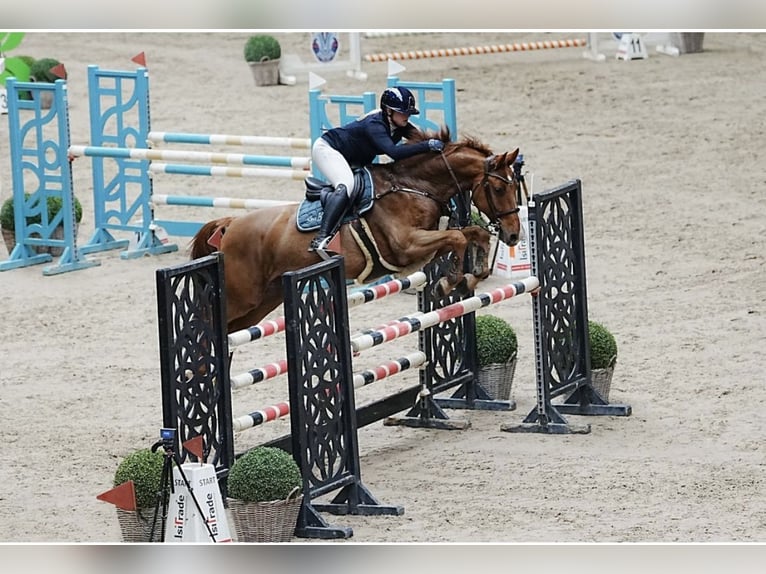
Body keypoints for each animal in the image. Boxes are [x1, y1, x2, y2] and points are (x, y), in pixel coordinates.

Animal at [190, 127, 522, 333]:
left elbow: (473, 234)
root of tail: (231, 224)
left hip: (264, 300)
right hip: (242, 295)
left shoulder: (424, 244)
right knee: (206, 323)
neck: (416, 186)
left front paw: (472, 275)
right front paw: (449, 282)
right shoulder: (407, 246)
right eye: (496, 188)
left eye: (514, 186)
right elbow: (457, 237)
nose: (514, 235)